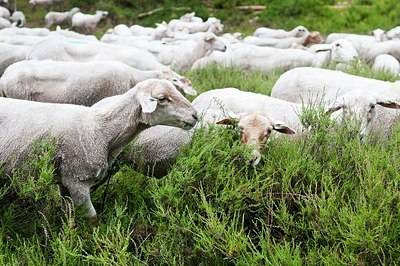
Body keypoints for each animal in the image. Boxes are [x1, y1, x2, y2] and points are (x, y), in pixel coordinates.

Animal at [0, 78, 198, 222]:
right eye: (162, 98)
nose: (195, 115)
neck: (101, 129)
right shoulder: (77, 180)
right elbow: (92, 220)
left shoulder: (64, 181)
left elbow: (69, 215)